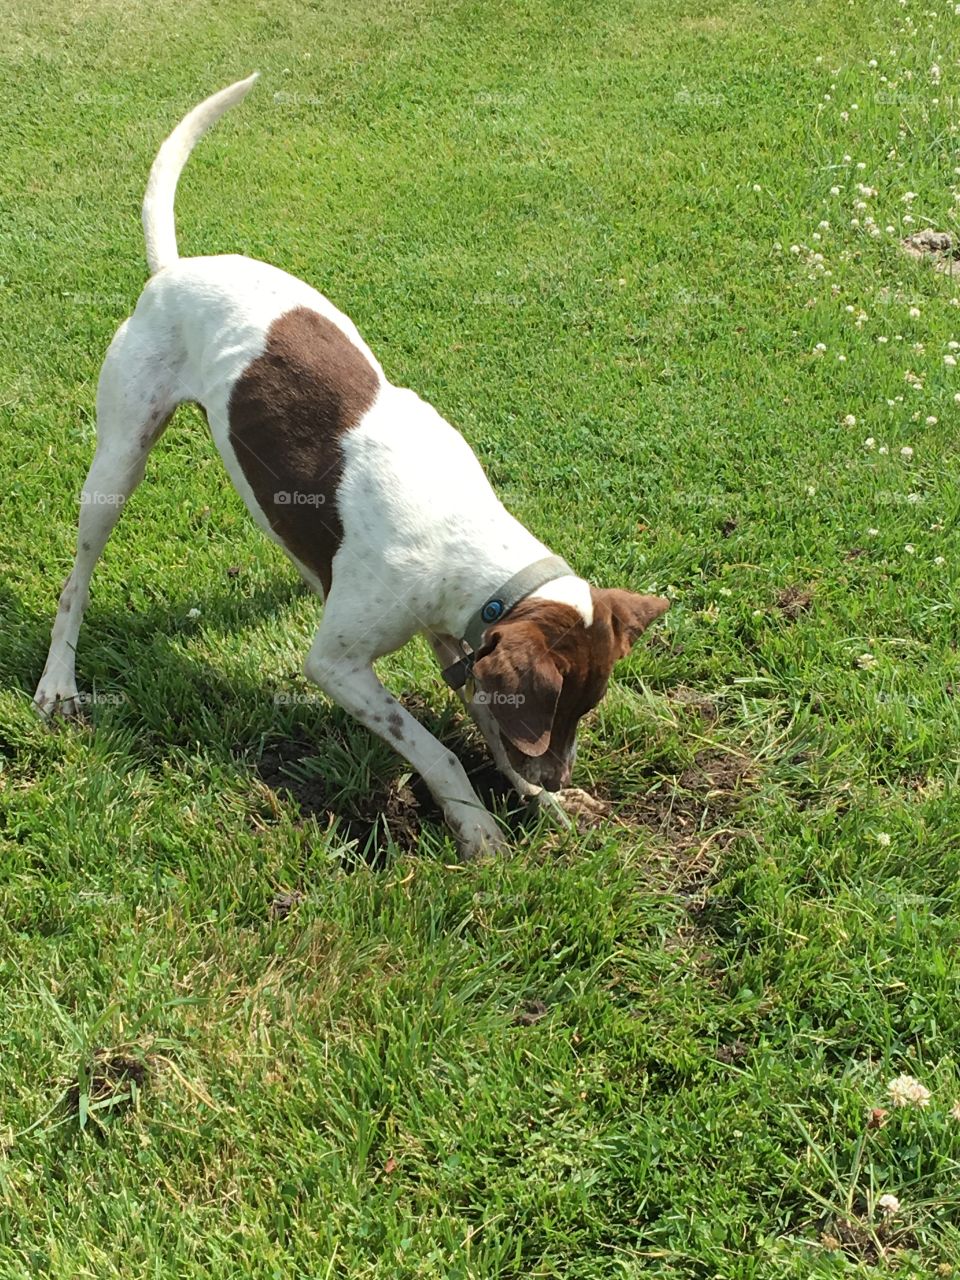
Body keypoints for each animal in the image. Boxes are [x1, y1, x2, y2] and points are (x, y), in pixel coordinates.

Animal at [35, 77, 670, 860]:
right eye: (552, 713)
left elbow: (481, 726)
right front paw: (480, 829)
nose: (554, 779)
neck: (463, 538)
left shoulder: (462, 641)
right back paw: (58, 682)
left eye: (584, 711)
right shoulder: (338, 666)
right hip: (118, 461)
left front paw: (538, 803)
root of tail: (174, 271)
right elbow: (435, 749)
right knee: (76, 581)